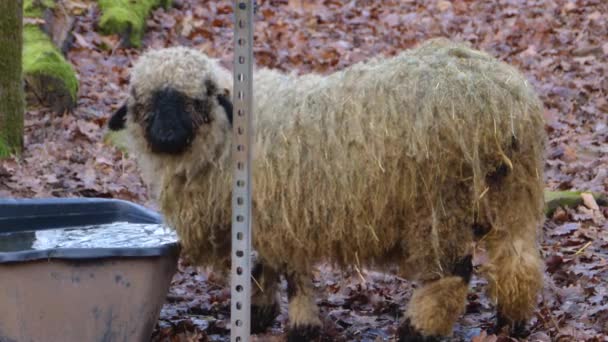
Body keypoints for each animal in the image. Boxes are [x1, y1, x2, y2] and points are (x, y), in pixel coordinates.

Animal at [108, 39, 548, 342]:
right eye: (142, 102)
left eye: (196, 100)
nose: (166, 136)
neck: (222, 140)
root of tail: (501, 103)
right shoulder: (268, 216)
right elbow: (263, 266)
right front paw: (259, 312)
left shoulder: (285, 213)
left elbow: (292, 275)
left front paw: (300, 325)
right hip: (513, 189)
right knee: (518, 257)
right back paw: (512, 320)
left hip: (440, 204)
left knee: (453, 273)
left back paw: (418, 328)